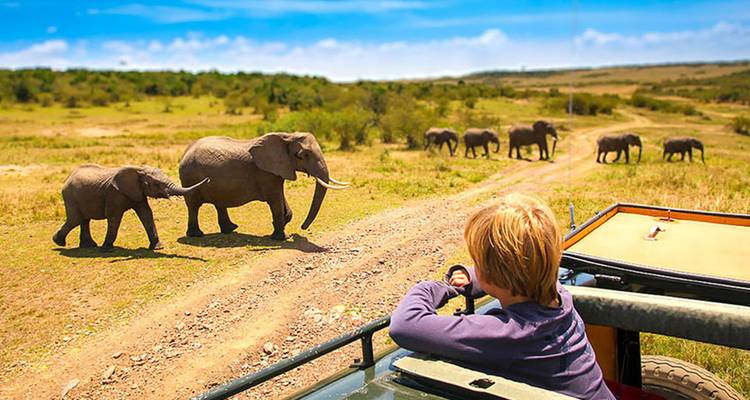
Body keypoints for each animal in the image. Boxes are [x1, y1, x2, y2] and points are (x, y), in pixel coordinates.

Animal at [52, 165, 208, 251]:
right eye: (157, 184)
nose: (208, 179)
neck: (139, 170)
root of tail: (68, 178)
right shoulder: (115, 194)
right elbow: (114, 218)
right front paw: (107, 249)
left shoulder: (138, 192)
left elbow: (146, 214)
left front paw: (158, 247)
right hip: (70, 196)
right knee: (75, 219)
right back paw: (58, 242)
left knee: (84, 220)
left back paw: (88, 246)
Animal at [178, 132, 349, 241]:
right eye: (302, 155)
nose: (302, 228)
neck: (286, 137)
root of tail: (185, 152)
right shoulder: (265, 173)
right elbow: (275, 200)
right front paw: (281, 238)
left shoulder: (278, 171)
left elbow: (280, 197)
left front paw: (281, 225)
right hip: (190, 178)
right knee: (193, 206)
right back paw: (197, 234)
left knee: (219, 203)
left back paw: (231, 229)